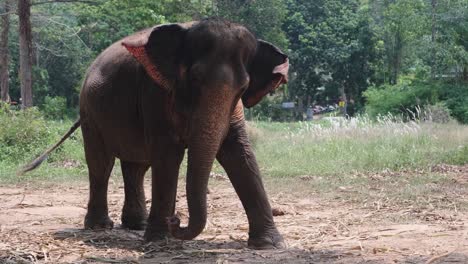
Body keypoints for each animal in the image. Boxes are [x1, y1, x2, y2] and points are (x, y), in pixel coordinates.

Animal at [23, 18, 290, 250]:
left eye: (243, 87)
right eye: (194, 78)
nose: (177, 219)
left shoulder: (232, 109)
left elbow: (239, 154)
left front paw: (270, 244)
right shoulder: (155, 92)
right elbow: (167, 154)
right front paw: (160, 239)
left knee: (136, 166)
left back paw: (137, 225)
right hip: (90, 111)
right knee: (101, 163)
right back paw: (100, 227)